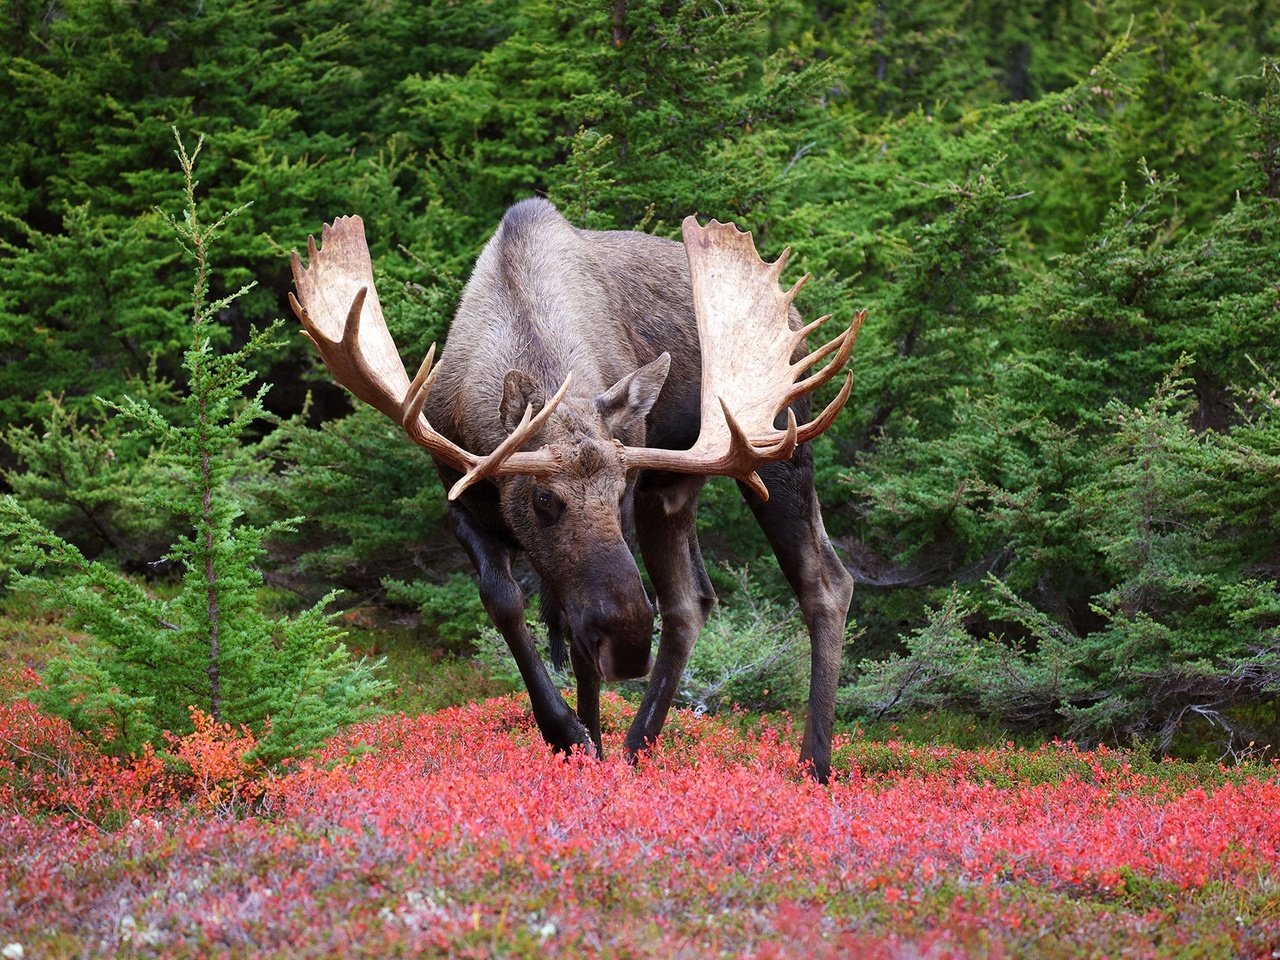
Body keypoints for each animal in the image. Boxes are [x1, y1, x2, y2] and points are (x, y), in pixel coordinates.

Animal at [290, 200, 865, 783]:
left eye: (619, 492)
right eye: (544, 498)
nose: (629, 644)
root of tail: (797, 325)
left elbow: (575, 636)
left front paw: (582, 740)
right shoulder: (461, 499)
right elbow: (505, 603)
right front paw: (570, 733)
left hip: (776, 448)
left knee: (824, 582)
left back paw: (813, 764)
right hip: (674, 485)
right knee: (691, 601)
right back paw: (638, 746)